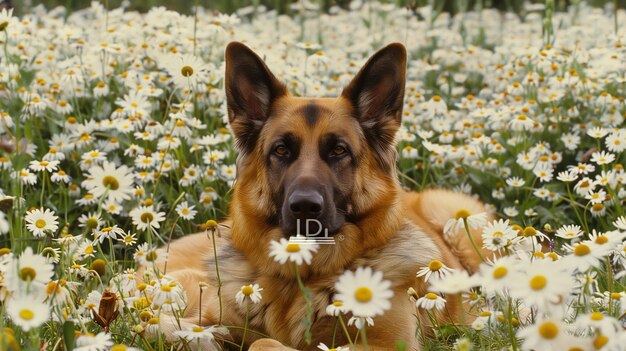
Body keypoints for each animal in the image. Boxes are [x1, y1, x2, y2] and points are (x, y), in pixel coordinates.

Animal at [156, 42, 488, 350]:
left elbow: (263, 342)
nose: (304, 207)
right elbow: (174, 325)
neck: (304, 276)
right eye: (281, 150)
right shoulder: (214, 316)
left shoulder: (387, 343)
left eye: (339, 150)